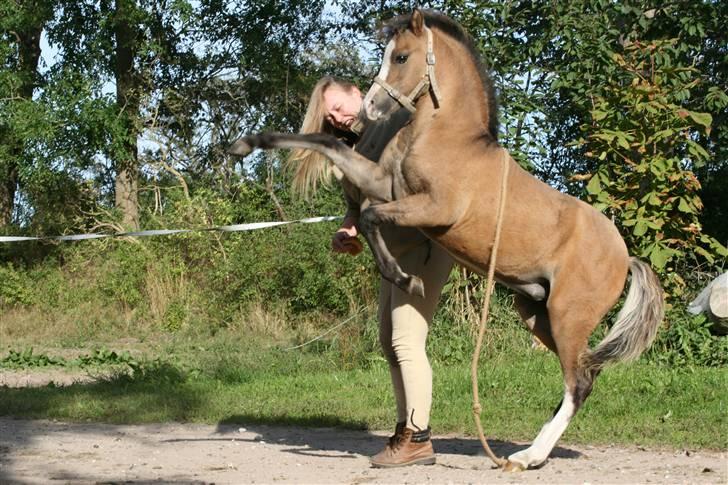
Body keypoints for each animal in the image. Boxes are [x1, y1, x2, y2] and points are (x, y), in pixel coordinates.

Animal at [230, 7, 664, 468]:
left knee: (577, 382)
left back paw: (527, 456)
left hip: (568, 317)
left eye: (401, 57)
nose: (371, 107)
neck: (446, 137)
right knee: (588, 373)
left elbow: (368, 216)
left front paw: (407, 279)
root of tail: (625, 256)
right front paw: (244, 144)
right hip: (537, 311)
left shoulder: (430, 208)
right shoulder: (387, 186)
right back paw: (533, 450)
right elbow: (329, 146)